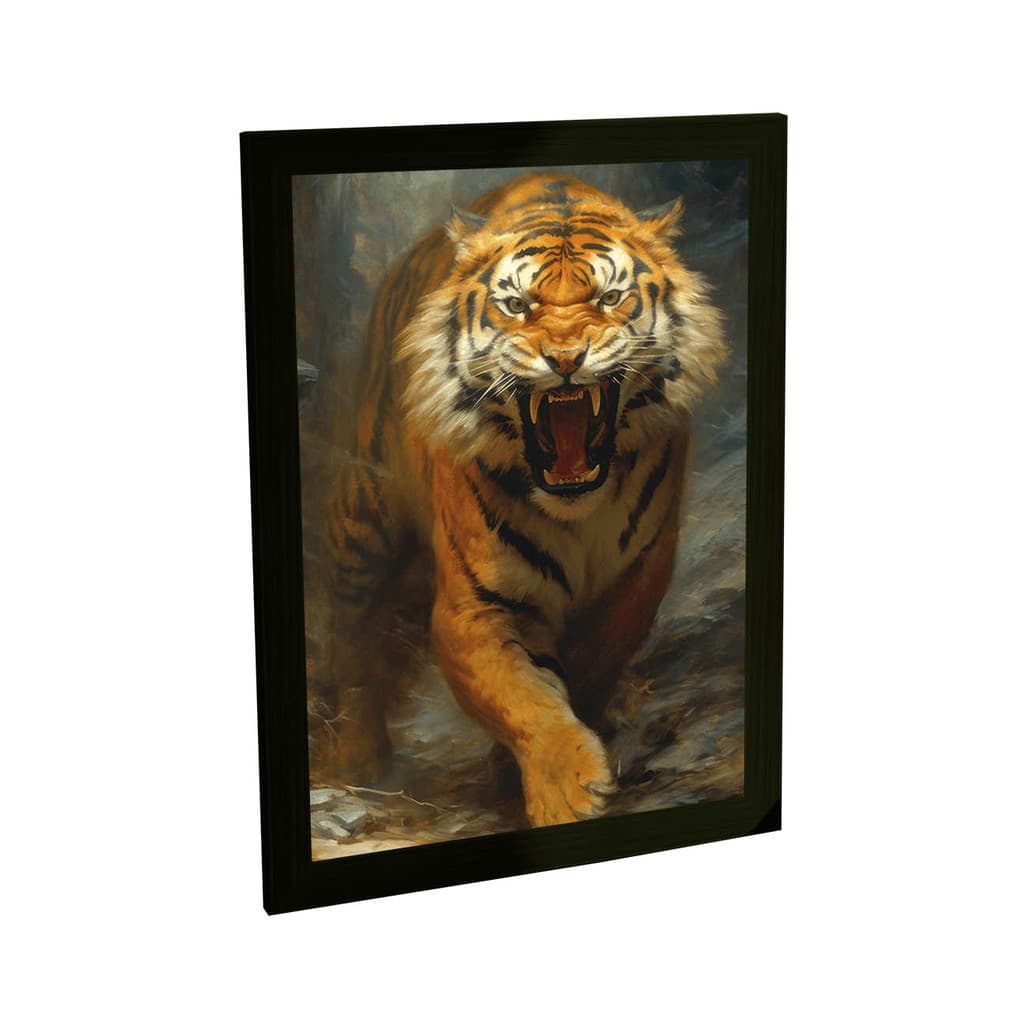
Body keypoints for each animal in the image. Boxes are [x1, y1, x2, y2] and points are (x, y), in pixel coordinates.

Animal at [315, 173, 727, 828]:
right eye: (517, 305)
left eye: (610, 298)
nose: (564, 359)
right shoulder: (474, 608)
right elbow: (521, 697)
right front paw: (566, 789)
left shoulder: (638, 576)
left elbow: (588, 664)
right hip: (361, 523)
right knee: (351, 640)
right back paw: (358, 760)